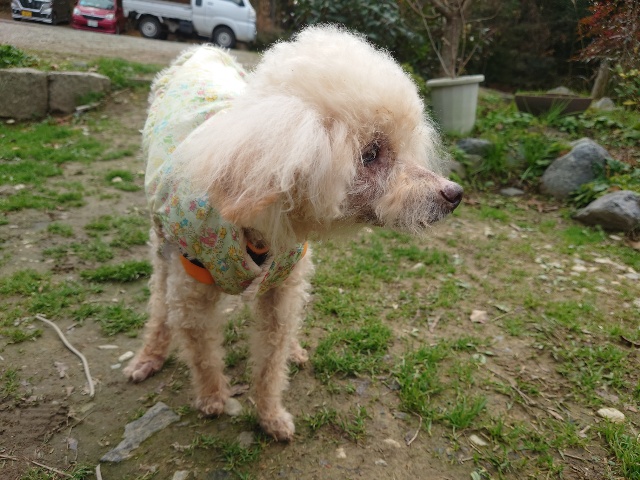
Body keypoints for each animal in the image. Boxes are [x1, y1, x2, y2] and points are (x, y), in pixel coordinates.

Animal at [124, 25, 463, 441]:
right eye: (370, 153)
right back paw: (149, 356)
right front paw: (213, 399)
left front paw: (271, 416)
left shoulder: (283, 286)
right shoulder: (193, 288)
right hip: (163, 244)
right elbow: (202, 353)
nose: (454, 194)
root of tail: (202, 50)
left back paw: (296, 351)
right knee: (158, 301)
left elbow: (272, 358)